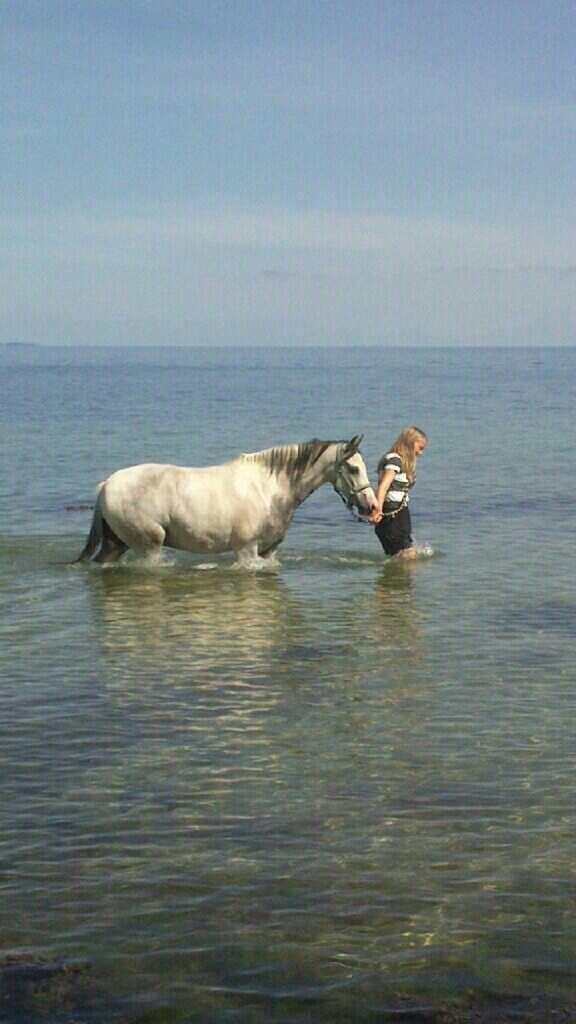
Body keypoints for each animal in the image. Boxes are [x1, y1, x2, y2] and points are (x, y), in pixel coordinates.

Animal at [74, 435, 377, 568]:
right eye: (353, 469)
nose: (371, 506)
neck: (269, 488)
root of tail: (106, 485)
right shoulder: (246, 551)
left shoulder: (268, 552)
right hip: (149, 546)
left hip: (116, 544)